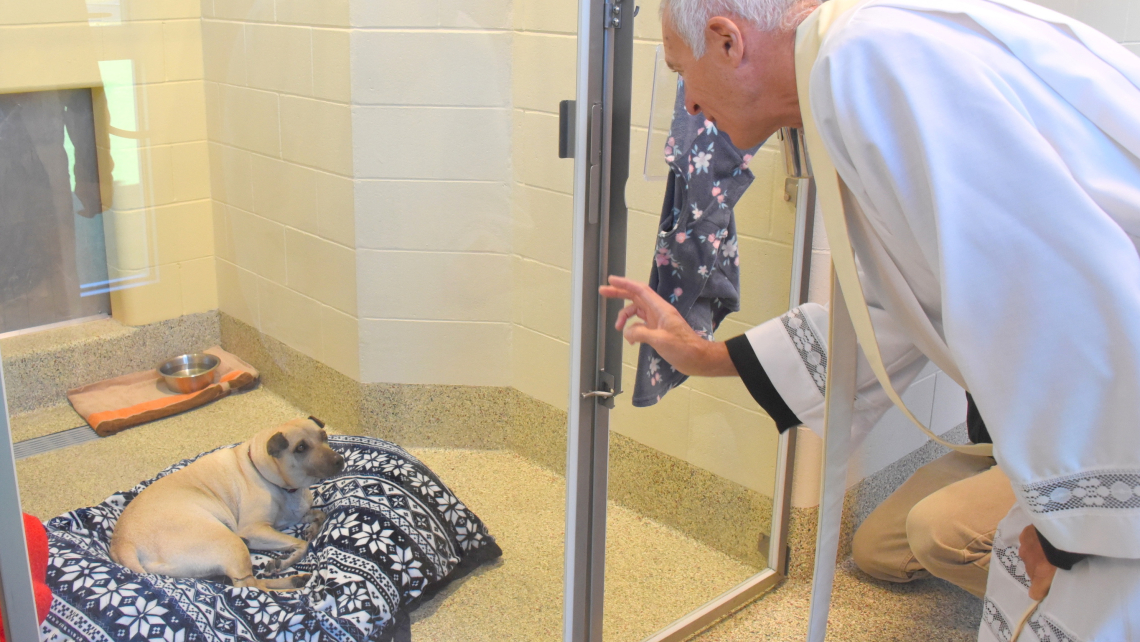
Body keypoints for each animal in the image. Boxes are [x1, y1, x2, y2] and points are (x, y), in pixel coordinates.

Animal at [109, 417, 344, 592]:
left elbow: (319, 516)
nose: (340, 460)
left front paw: (311, 530)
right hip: (232, 542)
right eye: (300, 447)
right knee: (250, 586)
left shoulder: (294, 516)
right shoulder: (254, 531)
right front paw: (286, 561)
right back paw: (291, 586)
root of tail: (123, 544)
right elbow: (301, 545)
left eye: (324, 436)